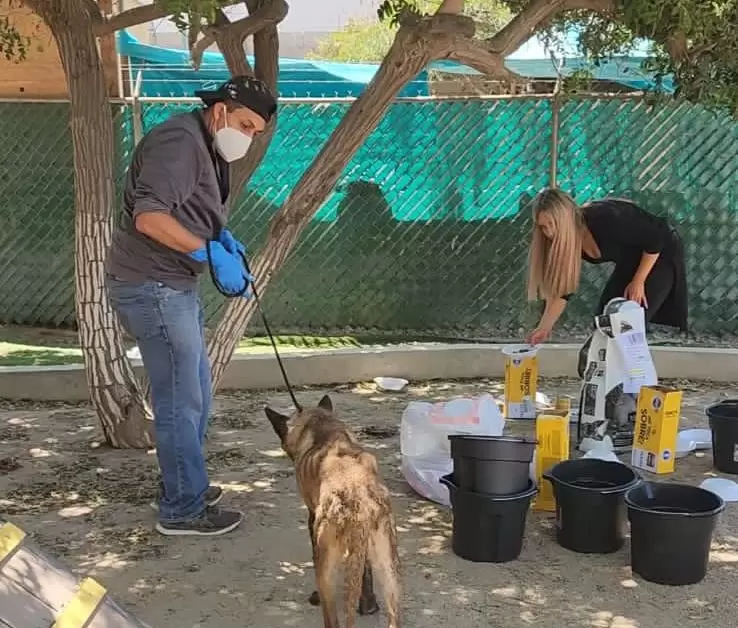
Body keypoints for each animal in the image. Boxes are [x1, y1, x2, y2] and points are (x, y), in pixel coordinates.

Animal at [266, 398, 402, 628]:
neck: (322, 424)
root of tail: (359, 499)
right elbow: (365, 572)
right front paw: (368, 604)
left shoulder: (312, 519)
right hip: (389, 568)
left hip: (326, 573)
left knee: (332, 619)